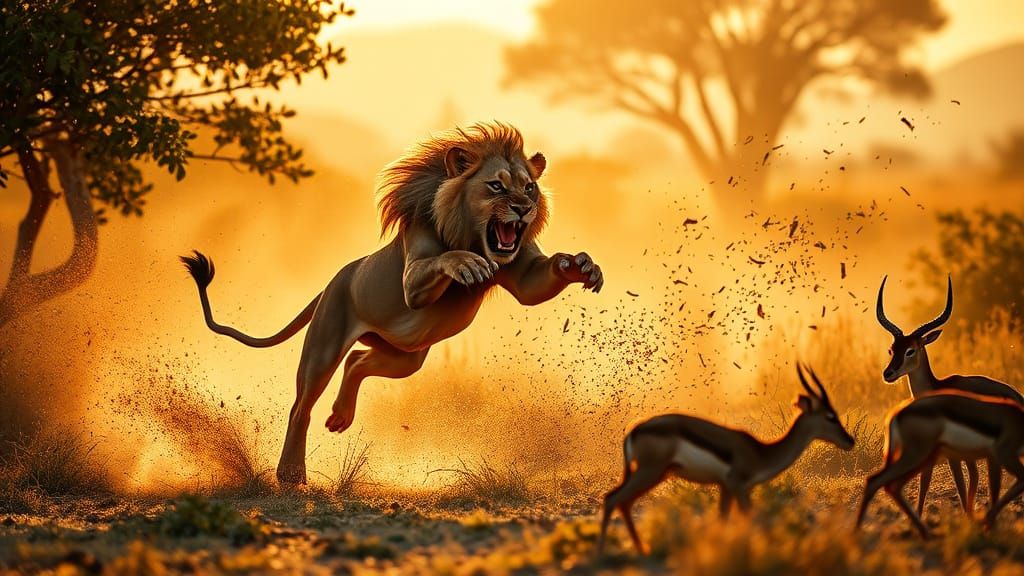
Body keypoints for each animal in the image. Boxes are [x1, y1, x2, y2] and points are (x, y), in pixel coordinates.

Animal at [181, 122, 604, 484]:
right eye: (497, 186)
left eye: (529, 189)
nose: (522, 209)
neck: (473, 235)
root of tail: (334, 280)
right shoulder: (413, 279)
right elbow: (438, 263)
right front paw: (465, 264)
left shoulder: (522, 272)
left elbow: (538, 283)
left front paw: (581, 265)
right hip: (325, 344)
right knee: (301, 406)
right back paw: (291, 473)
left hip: (405, 358)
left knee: (357, 361)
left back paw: (340, 416)